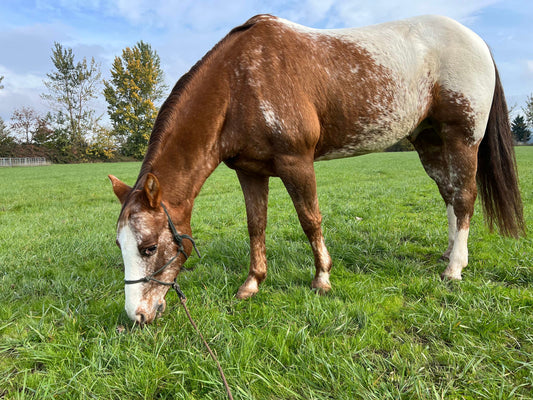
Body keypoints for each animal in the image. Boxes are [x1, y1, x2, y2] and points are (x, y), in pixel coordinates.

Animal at [108, 14, 524, 324]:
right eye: (119, 245)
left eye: (148, 247)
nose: (137, 315)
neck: (240, 81)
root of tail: (477, 40)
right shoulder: (250, 171)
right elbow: (256, 225)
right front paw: (252, 283)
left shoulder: (297, 161)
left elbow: (310, 219)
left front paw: (322, 278)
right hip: (430, 143)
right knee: (450, 195)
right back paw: (451, 253)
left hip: (462, 141)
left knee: (465, 197)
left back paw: (454, 269)